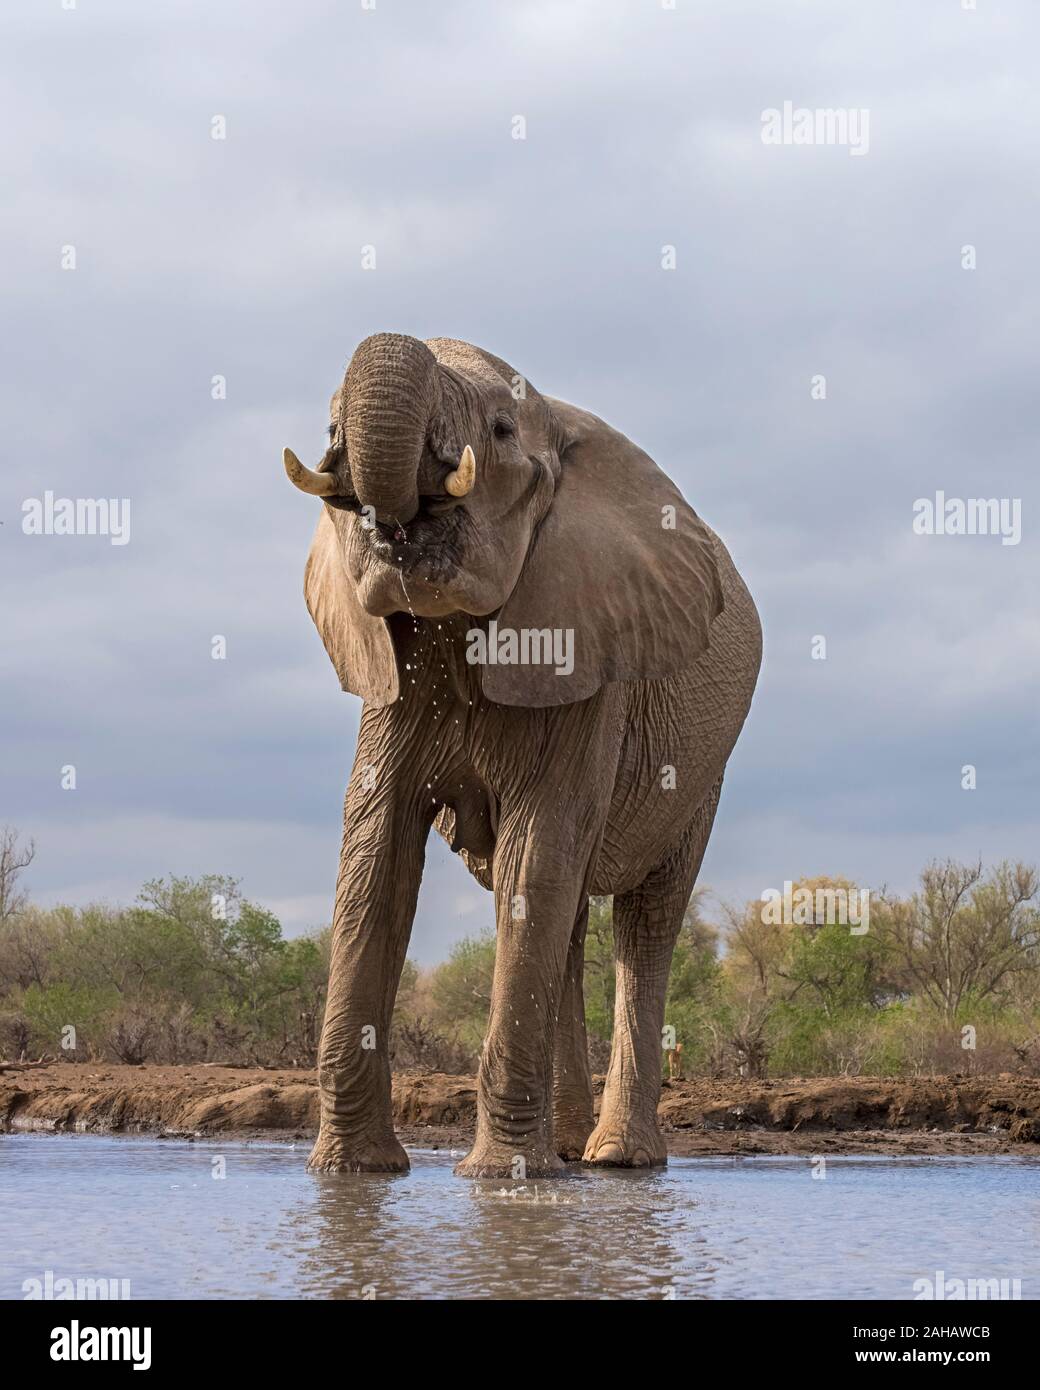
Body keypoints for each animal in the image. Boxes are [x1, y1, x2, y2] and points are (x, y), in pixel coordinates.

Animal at [285, 330, 761, 1178]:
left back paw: (616, 1160)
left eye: (502, 432)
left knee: (645, 921)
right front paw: (353, 1173)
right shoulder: (391, 685)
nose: (385, 510)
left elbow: (538, 845)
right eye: (328, 421)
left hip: (703, 773)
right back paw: (566, 1153)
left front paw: (499, 1179)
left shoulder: (588, 652)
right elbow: (376, 855)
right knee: (566, 921)